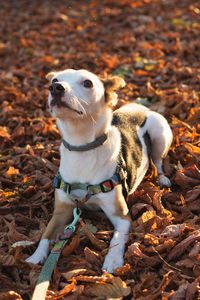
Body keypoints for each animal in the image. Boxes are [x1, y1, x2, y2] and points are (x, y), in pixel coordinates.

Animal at [26, 69, 173, 274]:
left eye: (88, 83)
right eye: (55, 79)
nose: (55, 87)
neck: (82, 148)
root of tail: (140, 108)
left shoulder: (121, 215)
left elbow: (117, 238)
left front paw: (113, 260)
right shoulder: (61, 211)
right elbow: (46, 234)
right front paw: (36, 256)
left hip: (160, 132)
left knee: (158, 162)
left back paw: (163, 178)